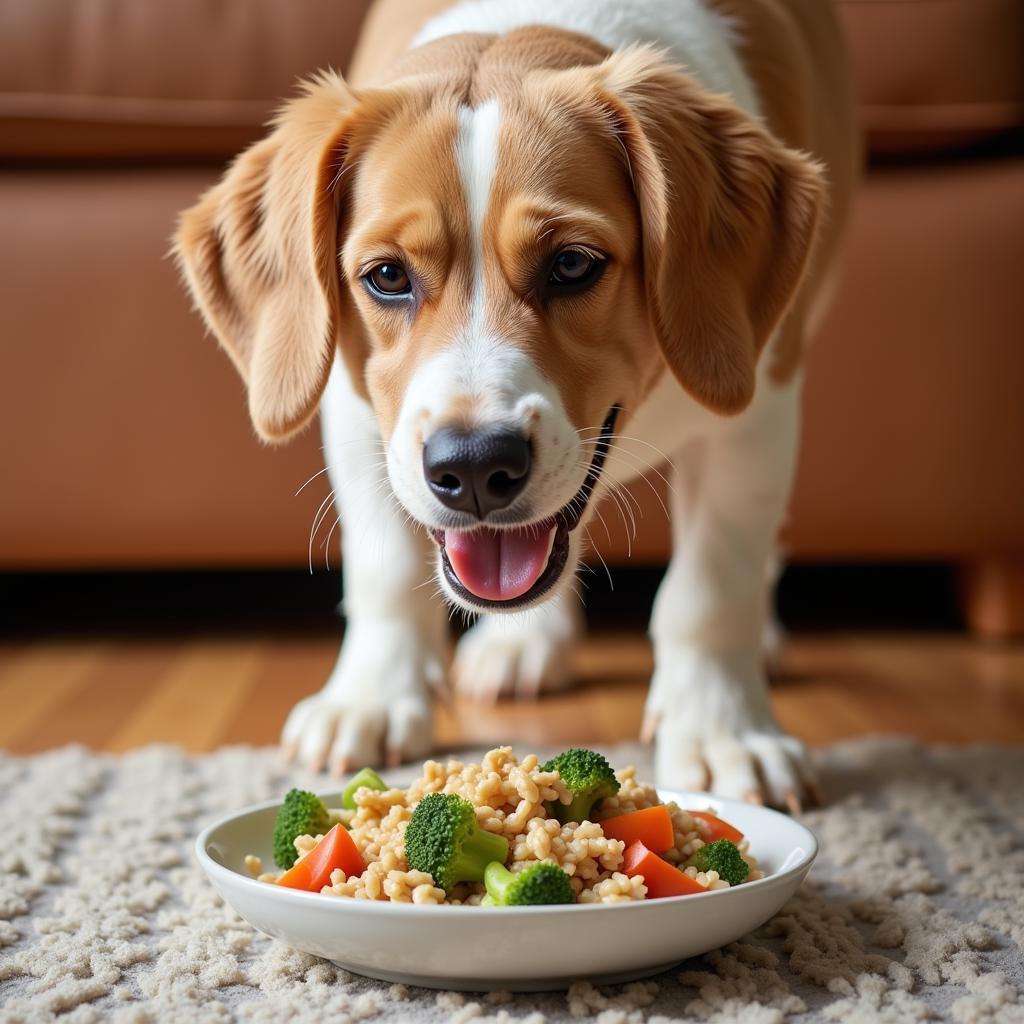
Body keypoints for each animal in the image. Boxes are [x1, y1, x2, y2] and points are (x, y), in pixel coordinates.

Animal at [174, 0, 856, 806]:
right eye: (386, 277)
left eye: (572, 265)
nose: (473, 467)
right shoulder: (351, 406)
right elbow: (381, 565)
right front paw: (370, 698)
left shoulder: (759, 404)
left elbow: (713, 585)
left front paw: (724, 730)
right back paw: (523, 642)